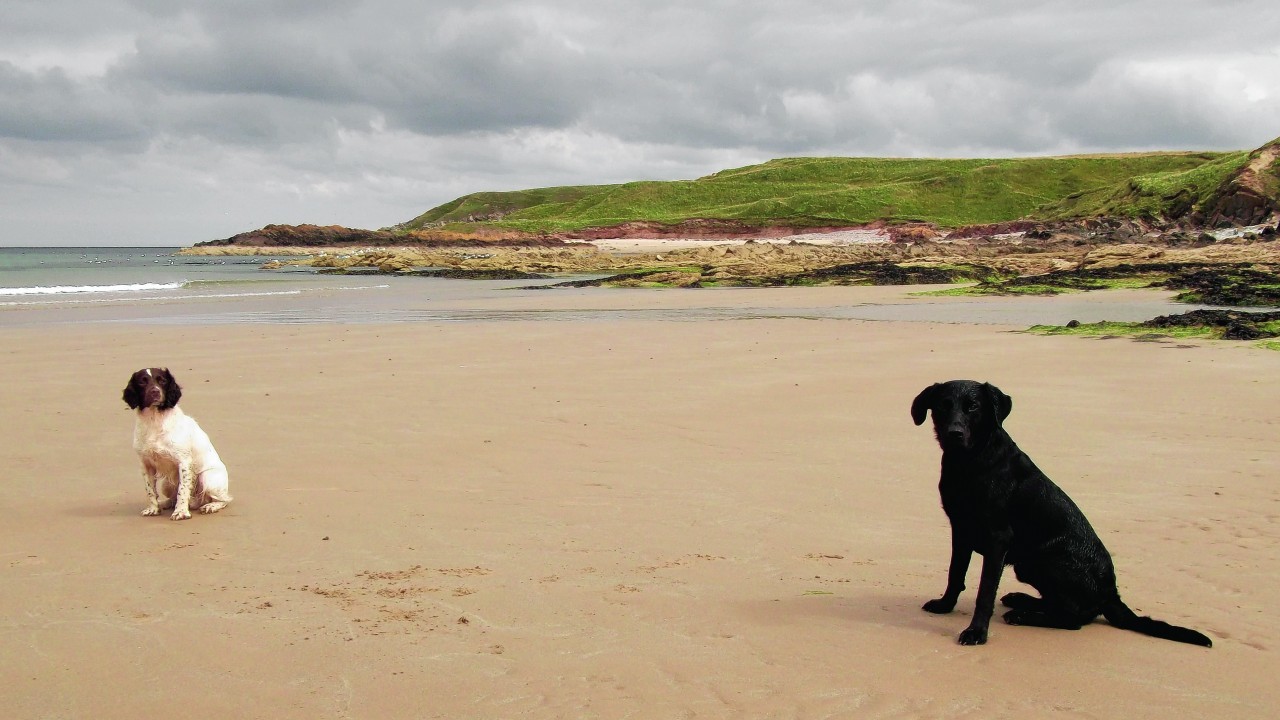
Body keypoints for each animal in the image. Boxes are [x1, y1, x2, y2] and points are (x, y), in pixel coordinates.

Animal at [122, 366, 232, 517]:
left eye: (162, 380)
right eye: (142, 382)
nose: (155, 391)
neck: (154, 420)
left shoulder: (184, 462)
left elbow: (183, 490)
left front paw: (181, 512)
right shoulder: (145, 464)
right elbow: (150, 491)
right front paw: (153, 509)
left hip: (207, 478)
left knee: (224, 499)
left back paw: (210, 506)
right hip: (166, 485)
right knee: (172, 497)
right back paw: (165, 504)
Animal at [911, 381, 1208, 645]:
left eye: (973, 406)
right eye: (942, 405)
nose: (954, 433)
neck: (969, 463)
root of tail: (1110, 593)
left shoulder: (998, 538)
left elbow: (985, 592)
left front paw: (977, 632)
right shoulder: (960, 528)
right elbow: (955, 573)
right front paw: (945, 605)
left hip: (1041, 560)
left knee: (1073, 618)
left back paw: (1023, 615)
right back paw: (1021, 600)